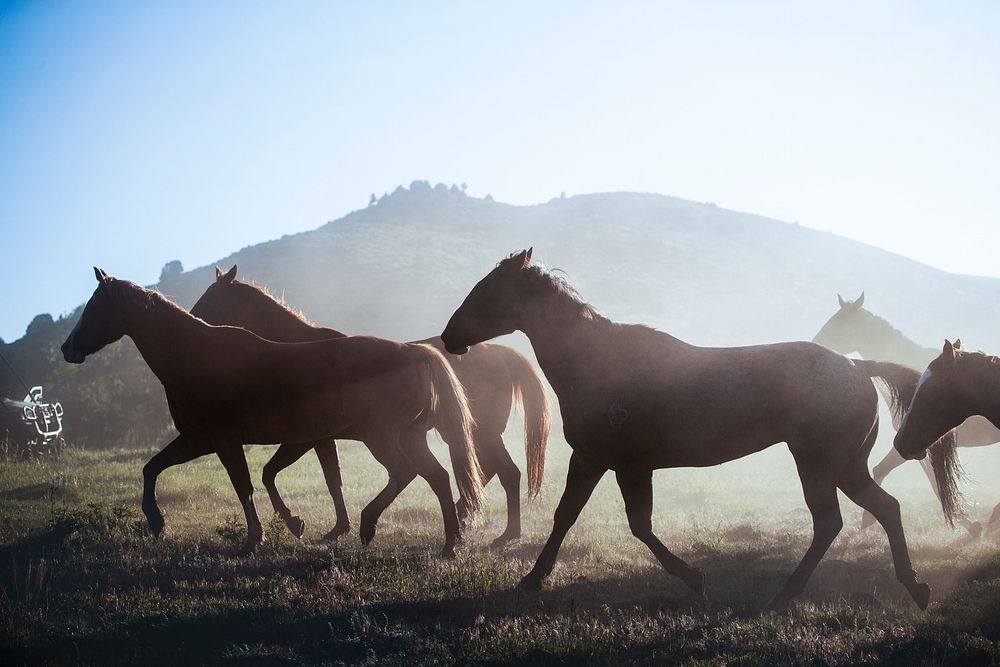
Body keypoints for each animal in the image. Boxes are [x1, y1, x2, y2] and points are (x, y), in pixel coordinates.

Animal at [61, 268, 484, 556]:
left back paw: (369, 526)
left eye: (95, 308)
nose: (67, 349)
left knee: (405, 473)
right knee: (437, 477)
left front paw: (257, 538)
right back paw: (449, 545)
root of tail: (417, 353)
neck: (198, 357)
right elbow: (152, 468)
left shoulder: (227, 441)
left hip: (380, 437)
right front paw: (156, 521)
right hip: (409, 436)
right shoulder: (200, 440)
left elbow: (246, 484)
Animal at [191, 264, 552, 548]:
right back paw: (480, 525)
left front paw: (332, 527)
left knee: (499, 472)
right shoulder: (323, 439)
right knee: (494, 472)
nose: (193, 319)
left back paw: (492, 529)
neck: (298, 350)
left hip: (477, 433)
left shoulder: (312, 438)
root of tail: (505, 354)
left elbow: (317, 477)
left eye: (211, 298)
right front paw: (338, 528)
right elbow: (332, 479)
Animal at [442, 250, 956, 612]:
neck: (597, 361)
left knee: (842, 519)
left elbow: (635, 524)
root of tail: (858, 368)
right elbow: (569, 516)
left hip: (824, 464)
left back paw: (789, 596)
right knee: (874, 512)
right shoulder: (595, 460)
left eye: (487, 290)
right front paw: (533, 579)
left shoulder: (622, 464)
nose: (449, 337)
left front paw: (694, 578)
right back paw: (907, 589)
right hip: (838, 467)